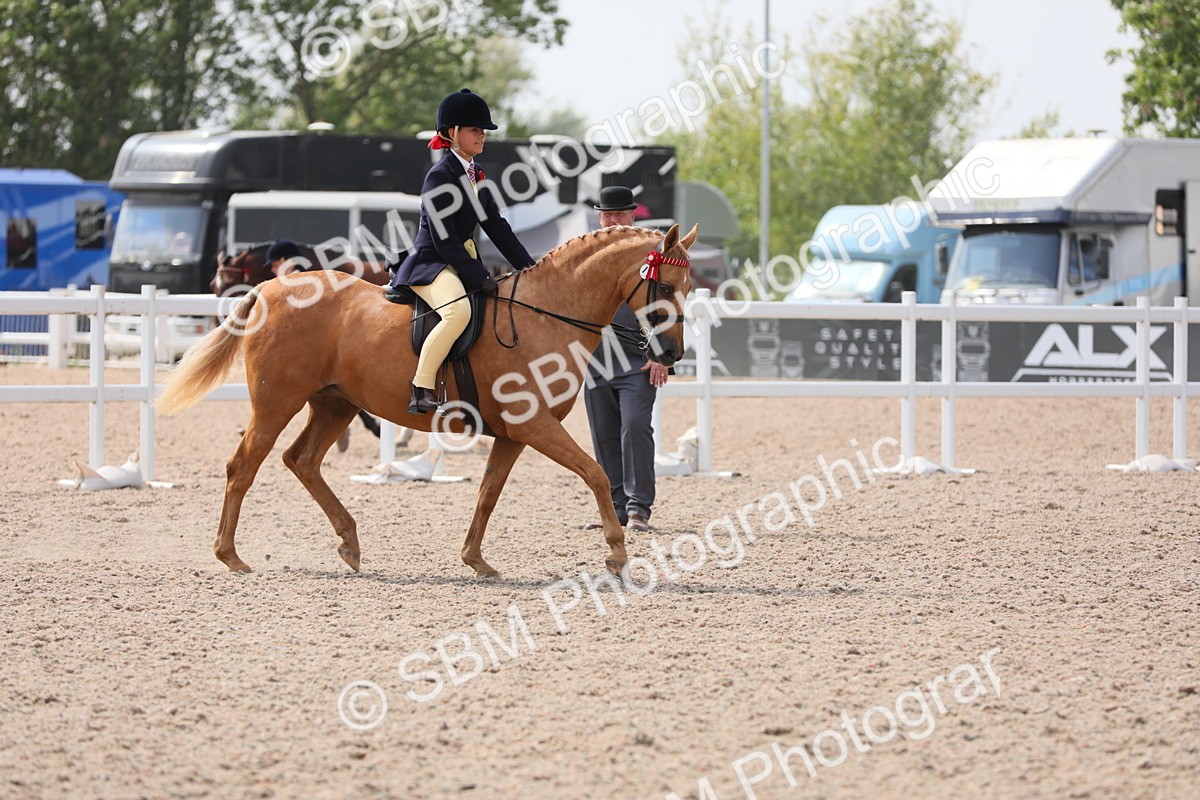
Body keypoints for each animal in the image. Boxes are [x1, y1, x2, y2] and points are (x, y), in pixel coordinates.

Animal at [157, 223, 697, 578]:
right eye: (667, 286)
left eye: (690, 288)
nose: (672, 354)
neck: (547, 313)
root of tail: (269, 288)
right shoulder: (536, 427)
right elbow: (596, 473)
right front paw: (617, 553)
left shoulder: (513, 434)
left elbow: (488, 494)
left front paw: (476, 561)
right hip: (277, 404)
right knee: (243, 467)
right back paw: (231, 556)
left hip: (335, 404)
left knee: (302, 460)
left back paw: (349, 543)